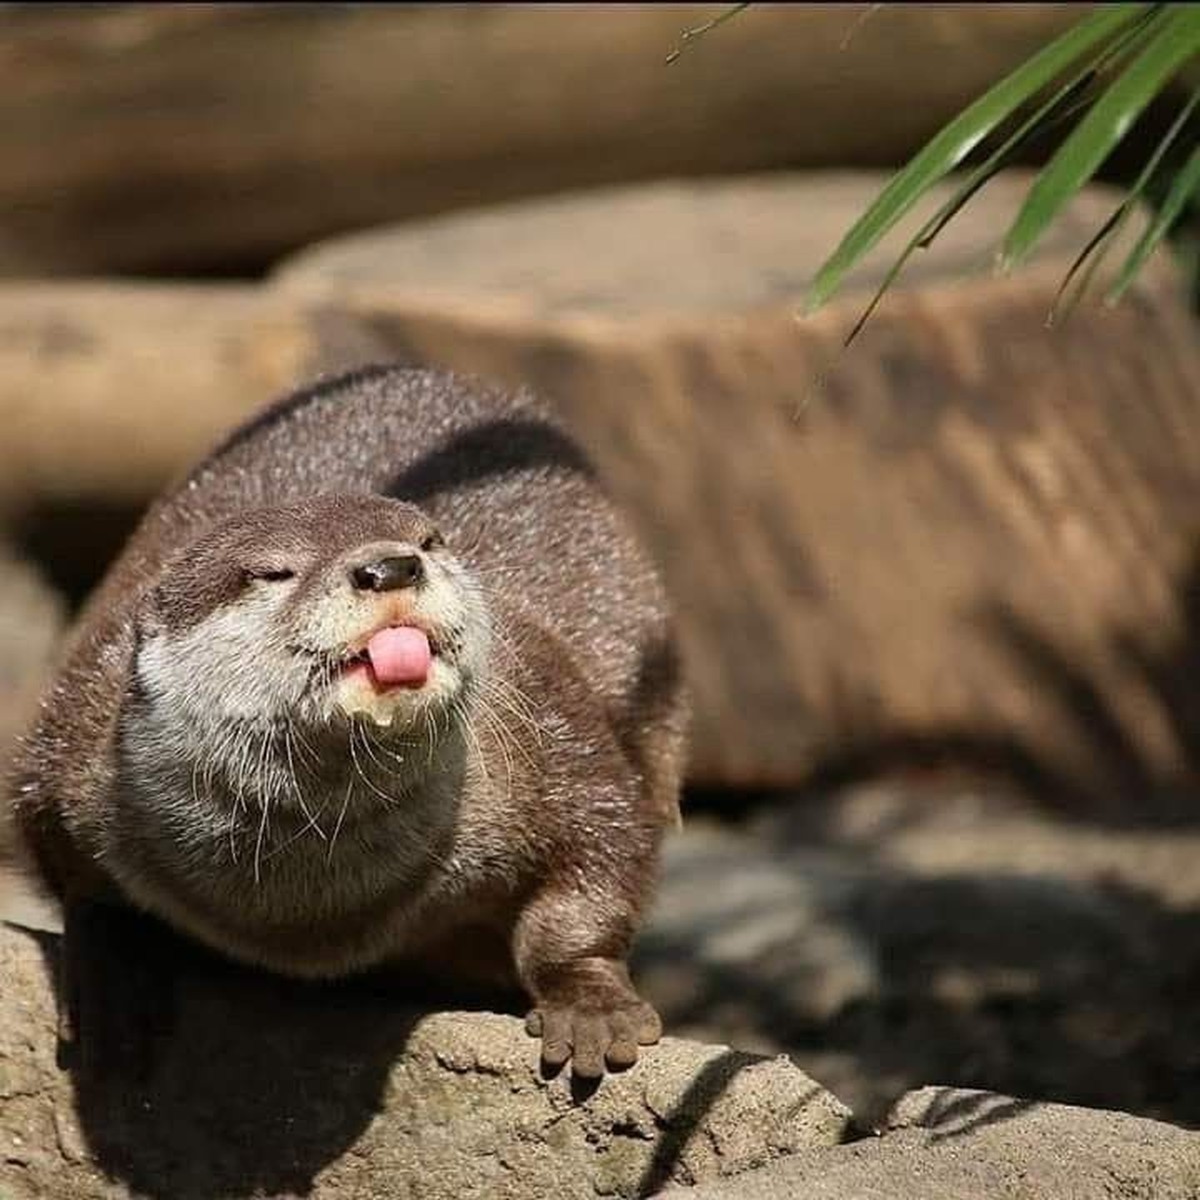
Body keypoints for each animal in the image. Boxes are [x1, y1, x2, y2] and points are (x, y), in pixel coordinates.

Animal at [7, 364, 688, 1079]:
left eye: (429, 541)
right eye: (274, 571)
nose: (391, 566)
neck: (310, 909)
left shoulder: (548, 723)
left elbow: (601, 848)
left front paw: (589, 1005)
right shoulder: (71, 743)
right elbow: (79, 882)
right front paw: (116, 975)